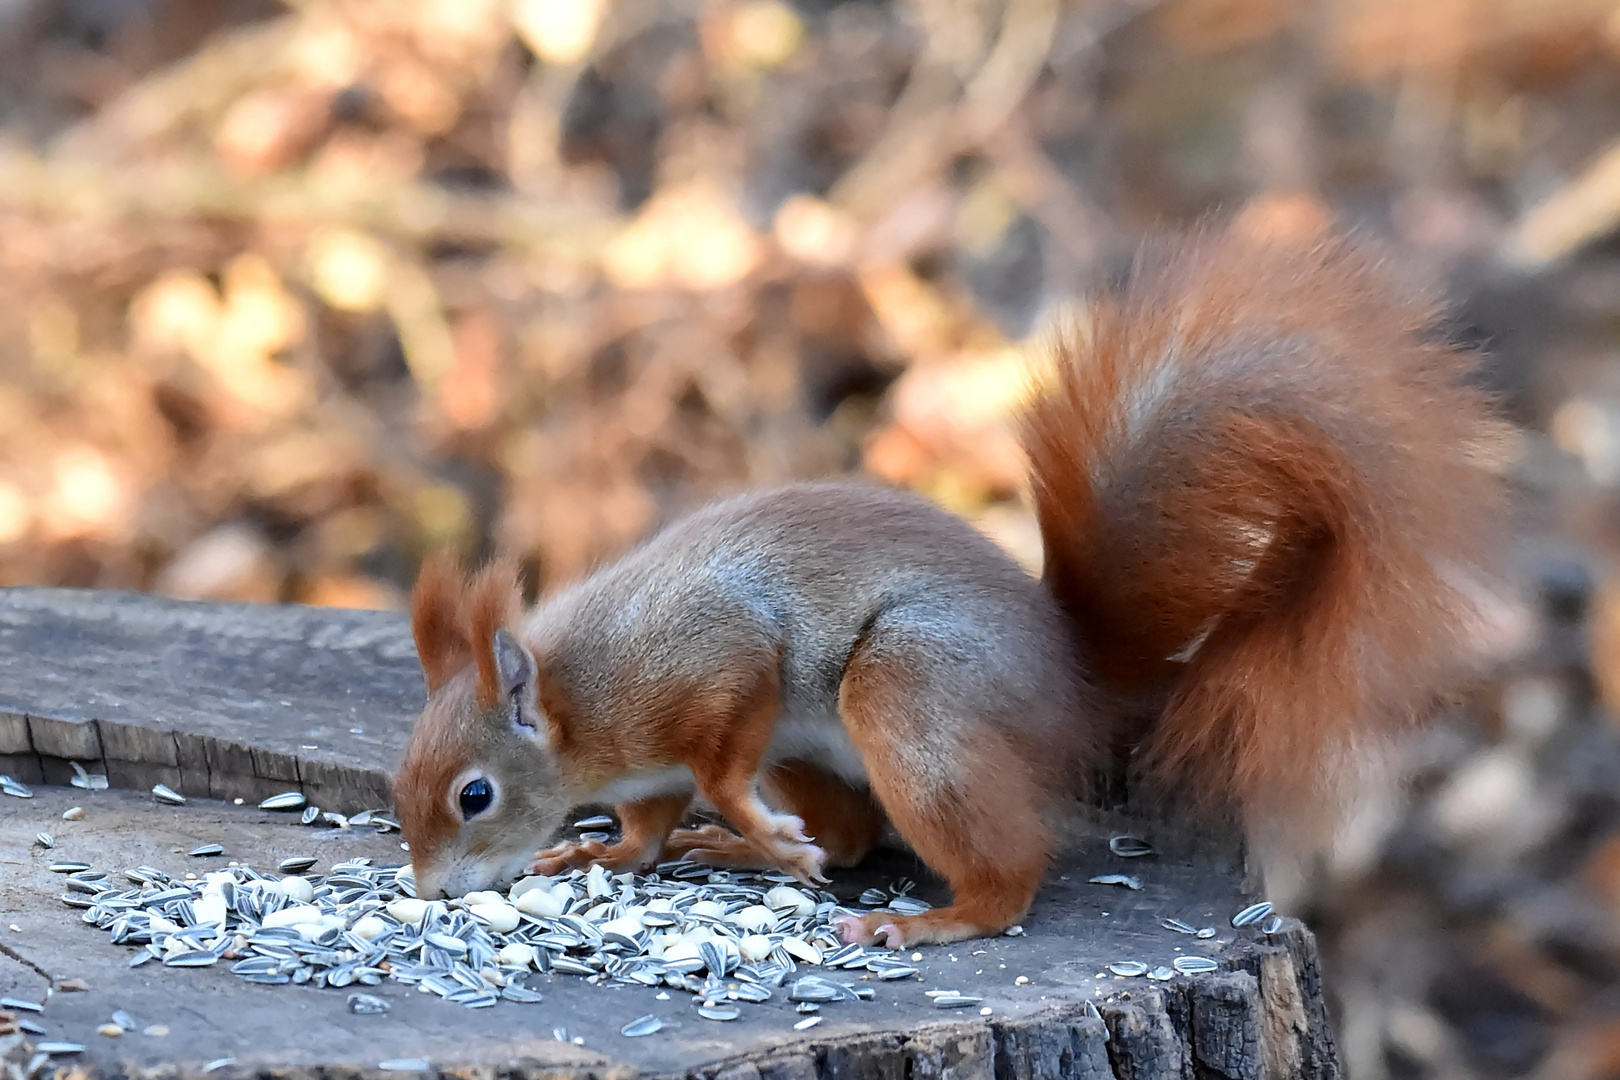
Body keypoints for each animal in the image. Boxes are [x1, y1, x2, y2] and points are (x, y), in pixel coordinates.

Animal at [392, 228, 1503, 945]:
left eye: (474, 795)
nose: (430, 892)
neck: (580, 704)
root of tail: (1074, 680)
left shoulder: (710, 660)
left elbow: (719, 750)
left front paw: (735, 816)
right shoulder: (649, 766)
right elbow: (648, 824)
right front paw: (606, 857)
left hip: (909, 694)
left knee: (1002, 876)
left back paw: (930, 918)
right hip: (826, 743)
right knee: (846, 841)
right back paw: (753, 855)